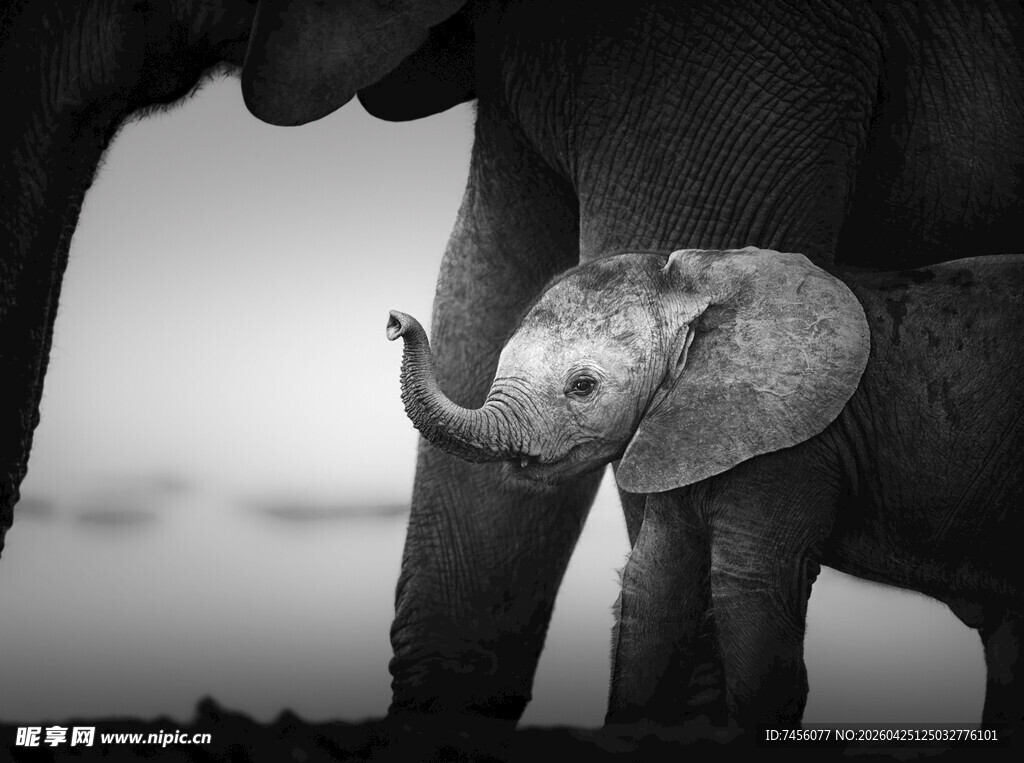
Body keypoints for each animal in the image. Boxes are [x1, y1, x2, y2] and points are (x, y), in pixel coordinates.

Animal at [387, 247, 1024, 729]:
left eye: (583, 386)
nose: (394, 320)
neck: (702, 289)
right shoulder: (685, 428)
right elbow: (653, 583)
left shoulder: (793, 446)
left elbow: (748, 587)